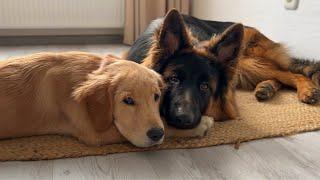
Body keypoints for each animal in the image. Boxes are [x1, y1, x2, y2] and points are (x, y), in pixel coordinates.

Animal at [123, 9, 320, 129]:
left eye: (205, 87)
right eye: (173, 79)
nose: (184, 119)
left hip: (245, 63)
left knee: (290, 74)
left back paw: (306, 89)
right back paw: (266, 88)